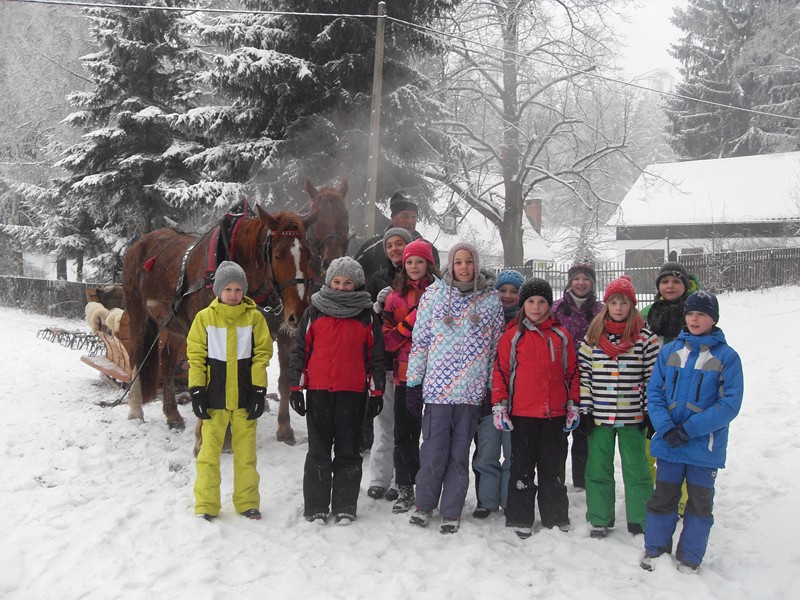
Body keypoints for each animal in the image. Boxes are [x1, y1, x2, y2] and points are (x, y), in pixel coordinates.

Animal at [123, 206, 314, 436]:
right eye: (277, 256)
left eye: (309, 255)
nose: (298, 313)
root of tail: (139, 244)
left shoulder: (280, 331)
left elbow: (282, 379)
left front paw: (284, 428)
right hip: (137, 313)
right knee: (136, 357)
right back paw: (135, 410)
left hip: (175, 323)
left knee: (167, 360)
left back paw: (173, 416)